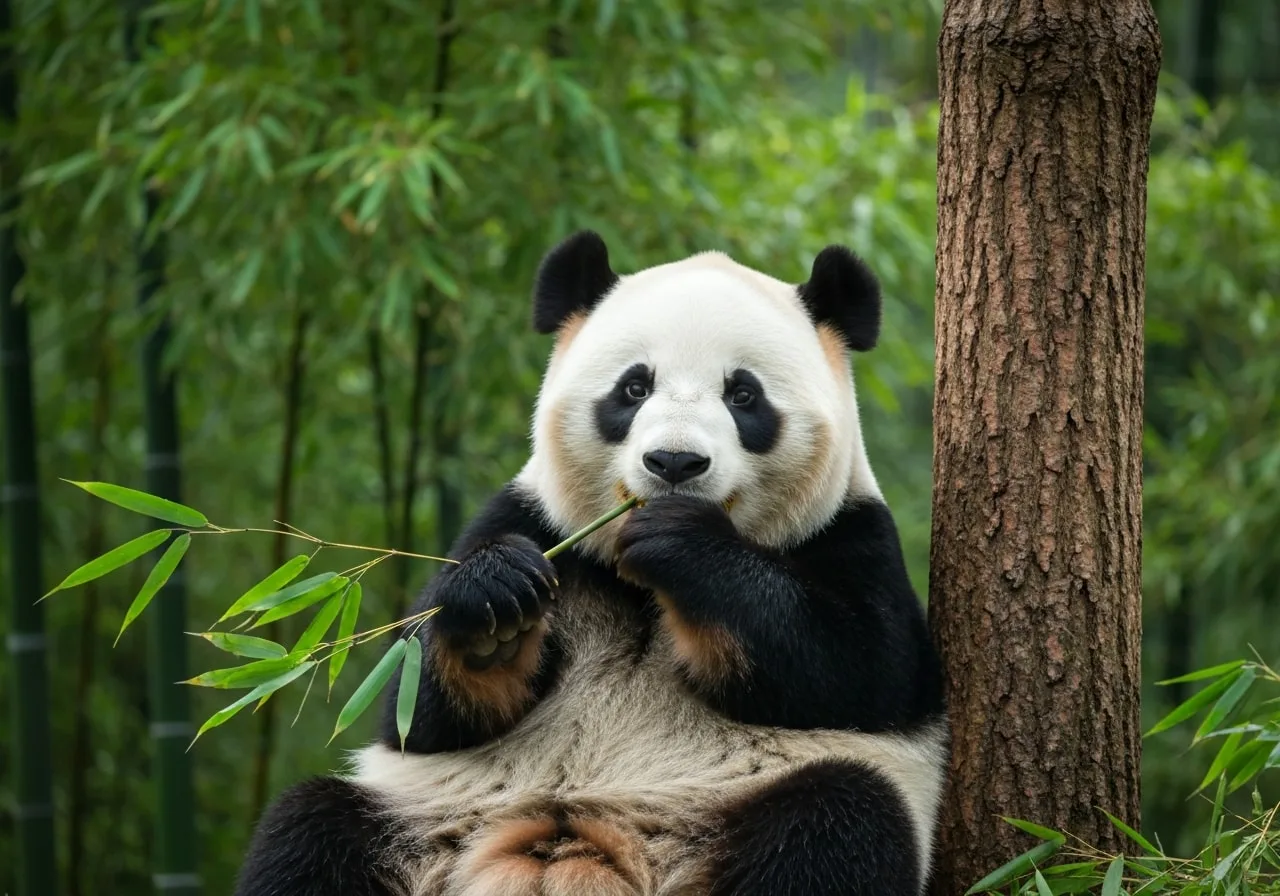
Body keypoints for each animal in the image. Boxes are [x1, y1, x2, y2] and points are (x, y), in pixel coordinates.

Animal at [234, 231, 948, 896]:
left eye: (744, 396)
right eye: (633, 387)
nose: (674, 463)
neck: (637, 583)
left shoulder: (852, 536)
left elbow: (856, 665)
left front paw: (681, 541)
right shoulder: (532, 521)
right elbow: (416, 709)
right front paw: (492, 607)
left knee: (837, 821)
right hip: (423, 820)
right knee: (312, 827)